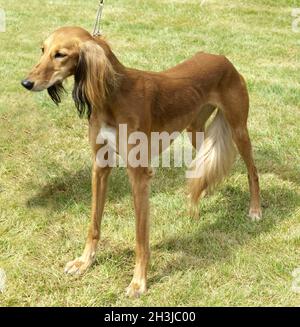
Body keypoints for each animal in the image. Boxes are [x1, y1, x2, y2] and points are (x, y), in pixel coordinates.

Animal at [21, 26, 260, 298]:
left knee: (252, 170)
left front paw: (138, 282)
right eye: (43, 50)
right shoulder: (100, 166)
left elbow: (140, 238)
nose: (26, 83)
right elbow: (93, 223)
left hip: (238, 128)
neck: (113, 95)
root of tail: (223, 58)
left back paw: (254, 210)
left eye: (60, 54)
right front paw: (84, 262)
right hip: (195, 130)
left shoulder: (139, 175)